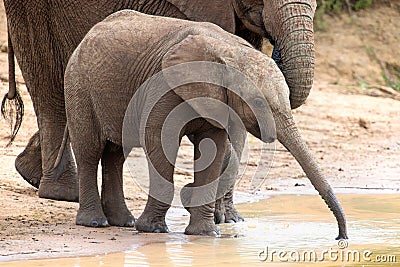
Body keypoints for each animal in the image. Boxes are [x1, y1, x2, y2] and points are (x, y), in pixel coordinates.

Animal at [63, 9, 346, 240]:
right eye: (257, 101)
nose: (340, 237)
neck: (229, 51)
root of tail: (89, 34)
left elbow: (214, 150)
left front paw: (206, 234)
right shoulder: (163, 87)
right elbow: (161, 144)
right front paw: (153, 230)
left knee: (115, 154)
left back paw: (123, 222)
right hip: (78, 83)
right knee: (89, 151)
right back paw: (95, 223)